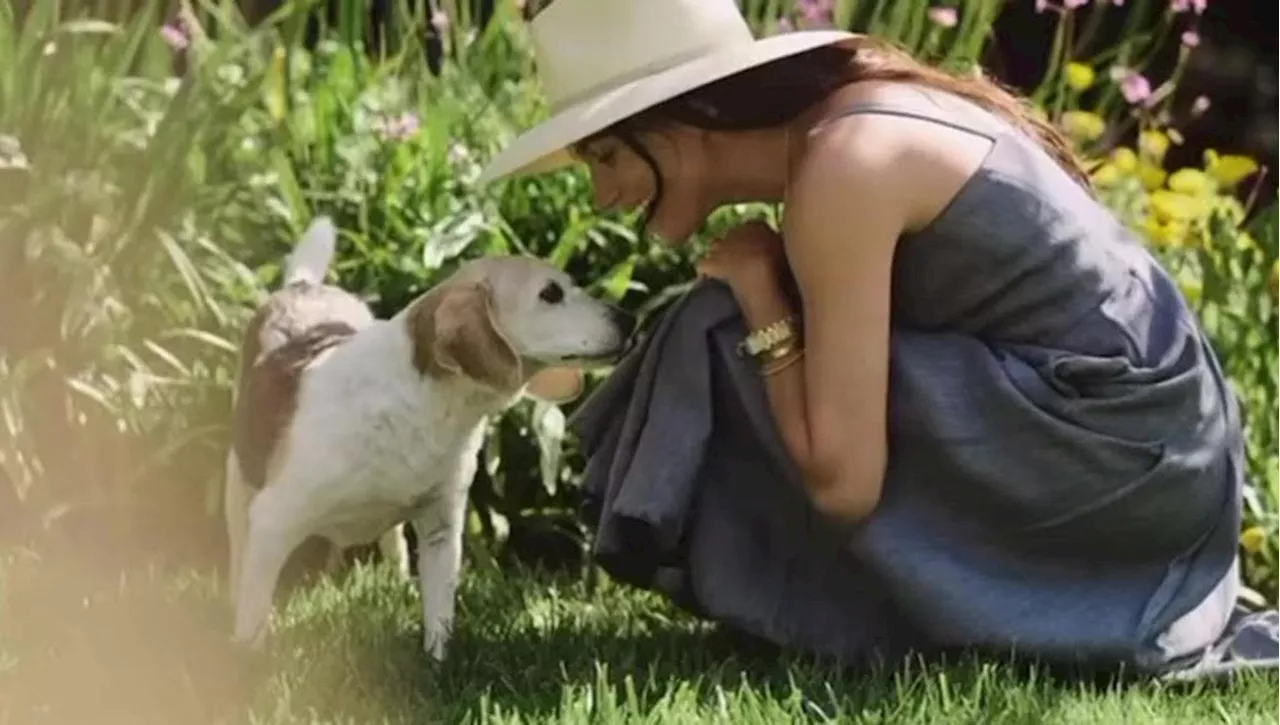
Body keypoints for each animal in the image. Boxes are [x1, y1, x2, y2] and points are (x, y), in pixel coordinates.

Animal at [227, 216, 637, 660]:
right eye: (551, 293)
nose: (630, 319)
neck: (425, 403)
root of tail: (302, 287)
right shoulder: (274, 519)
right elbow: (252, 611)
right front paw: (248, 660)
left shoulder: (442, 522)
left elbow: (439, 609)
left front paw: (437, 661)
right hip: (239, 490)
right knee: (241, 551)